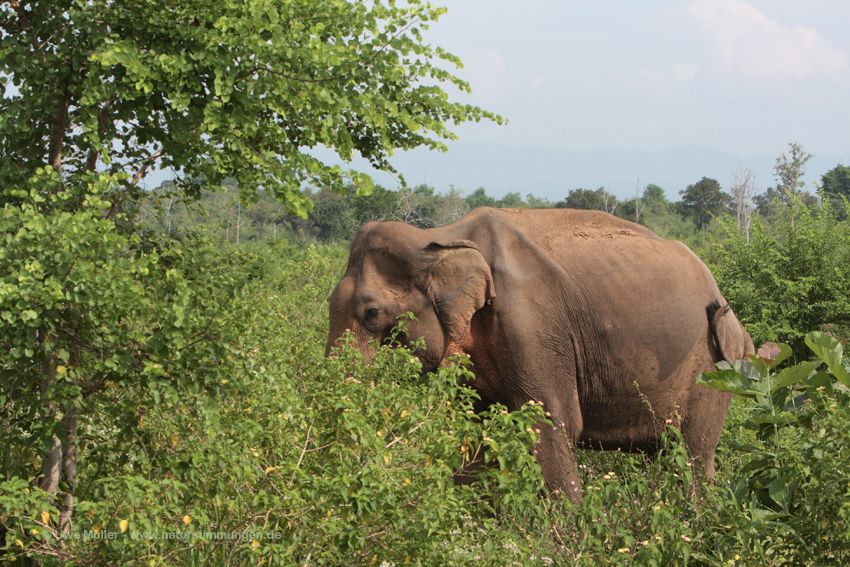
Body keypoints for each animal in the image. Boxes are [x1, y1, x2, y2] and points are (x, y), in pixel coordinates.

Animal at [322, 206, 748, 500]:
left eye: (372, 313)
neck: (439, 238)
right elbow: (477, 430)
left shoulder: (533, 325)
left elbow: (552, 425)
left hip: (714, 365)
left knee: (692, 454)